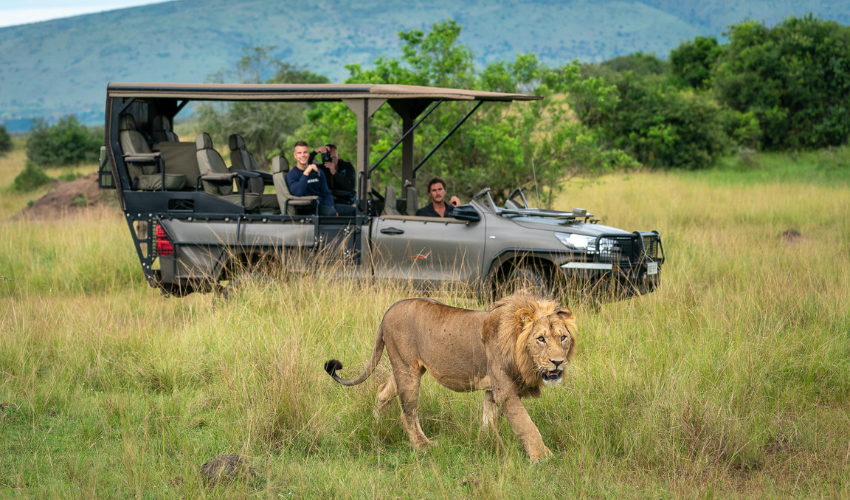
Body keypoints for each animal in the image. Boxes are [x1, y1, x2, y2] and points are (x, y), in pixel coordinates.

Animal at [324, 292, 576, 460]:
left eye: (563, 337)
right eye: (541, 339)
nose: (558, 362)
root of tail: (389, 310)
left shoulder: (491, 390)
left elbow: (489, 420)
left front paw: (486, 444)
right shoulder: (505, 391)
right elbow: (527, 426)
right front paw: (543, 457)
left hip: (404, 369)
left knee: (382, 392)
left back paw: (377, 425)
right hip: (407, 371)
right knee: (408, 414)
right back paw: (424, 446)